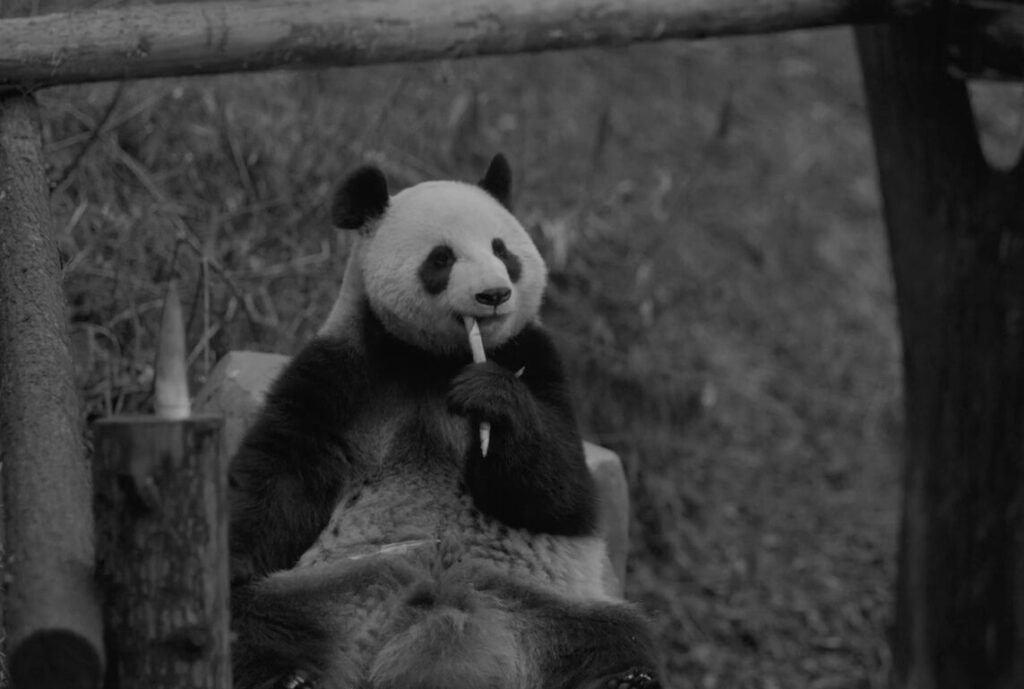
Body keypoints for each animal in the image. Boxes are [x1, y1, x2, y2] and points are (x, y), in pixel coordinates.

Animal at [228, 154, 663, 689]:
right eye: (442, 258)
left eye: (502, 249)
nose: (495, 294)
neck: (434, 360)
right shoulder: (340, 370)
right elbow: (284, 471)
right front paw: (236, 554)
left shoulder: (536, 359)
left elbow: (562, 493)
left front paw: (492, 401)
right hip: (331, 590)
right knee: (258, 620)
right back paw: (289, 677)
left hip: (540, 604)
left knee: (616, 636)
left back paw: (627, 679)